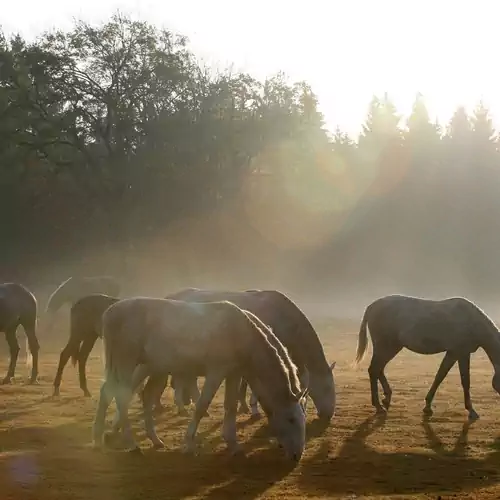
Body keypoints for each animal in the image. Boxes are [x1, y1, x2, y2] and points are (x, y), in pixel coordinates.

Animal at [92, 294, 306, 462]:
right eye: (291, 419)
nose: (297, 455)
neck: (240, 332)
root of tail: (109, 313)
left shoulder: (234, 373)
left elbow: (230, 406)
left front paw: (233, 445)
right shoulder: (216, 372)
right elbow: (202, 405)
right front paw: (188, 445)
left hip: (147, 366)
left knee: (117, 393)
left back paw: (108, 439)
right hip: (127, 362)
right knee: (121, 396)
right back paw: (131, 443)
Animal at [354, 294, 500, 420]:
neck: (471, 321)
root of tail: (371, 307)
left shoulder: (454, 353)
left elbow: (440, 376)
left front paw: (428, 406)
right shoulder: (460, 352)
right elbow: (463, 381)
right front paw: (471, 410)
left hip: (392, 347)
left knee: (379, 369)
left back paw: (386, 397)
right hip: (386, 346)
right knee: (374, 370)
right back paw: (379, 407)